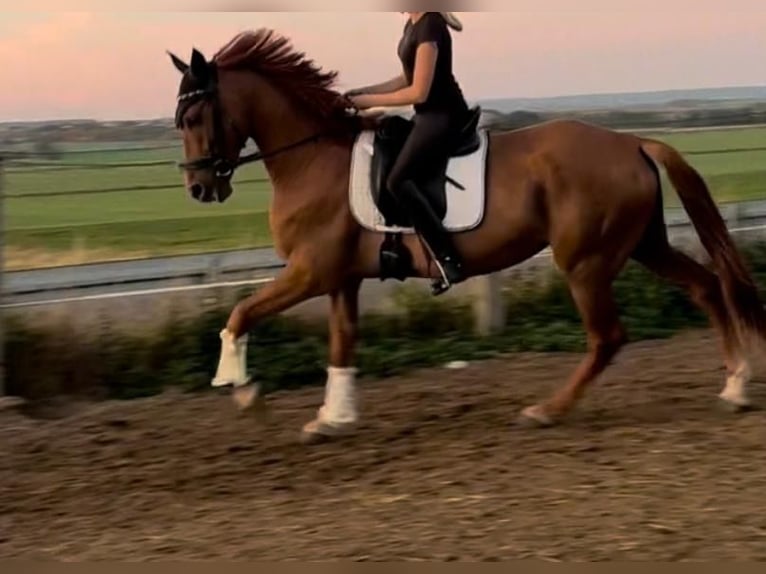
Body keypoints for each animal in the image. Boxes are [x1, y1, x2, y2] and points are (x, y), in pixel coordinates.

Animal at [167, 29, 766, 444]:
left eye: (194, 116)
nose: (199, 187)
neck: (313, 159)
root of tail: (632, 141)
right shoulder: (341, 278)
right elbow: (342, 343)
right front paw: (332, 419)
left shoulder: (310, 272)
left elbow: (240, 313)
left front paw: (244, 392)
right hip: (642, 244)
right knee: (706, 288)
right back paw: (735, 387)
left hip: (586, 262)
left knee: (608, 338)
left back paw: (546, 411)